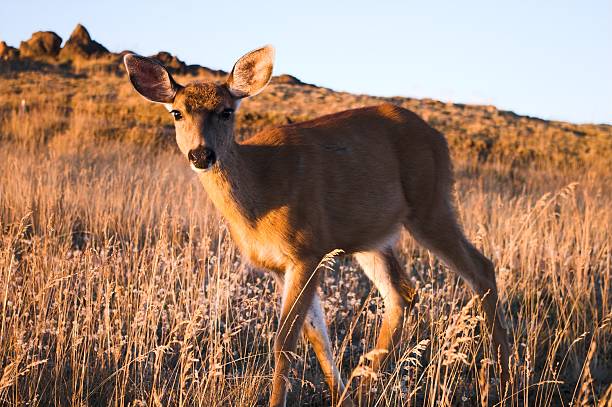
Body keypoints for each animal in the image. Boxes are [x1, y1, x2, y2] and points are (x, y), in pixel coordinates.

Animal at [122, 45, 510, 407]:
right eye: (177, 113)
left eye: (226, 111)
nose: (201, 155)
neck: (260, 191)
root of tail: (439, 138)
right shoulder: (282, 265)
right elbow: (317, 337)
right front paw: (340, 397)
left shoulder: (307, 249)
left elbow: (285, 341)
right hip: (372, 236)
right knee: (402, 292)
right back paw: (362, 383)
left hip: (430, 204)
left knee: (481, 270)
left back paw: (503, 382)